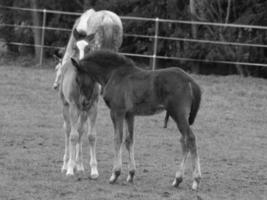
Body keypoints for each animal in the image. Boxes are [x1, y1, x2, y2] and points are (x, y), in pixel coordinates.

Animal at [71, 50, 203, 191]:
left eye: (77, 79)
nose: (83, 102)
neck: (113, 74)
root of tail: (190, 80)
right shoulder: (129, 114)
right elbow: (129, 140)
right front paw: (131, 174)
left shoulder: (117, 112)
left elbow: (117, 139)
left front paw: (115, 174)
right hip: (179, 116)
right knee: (184, 141)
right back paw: (177, 179)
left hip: (178, 114)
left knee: (190, 139)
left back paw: (195, 180)